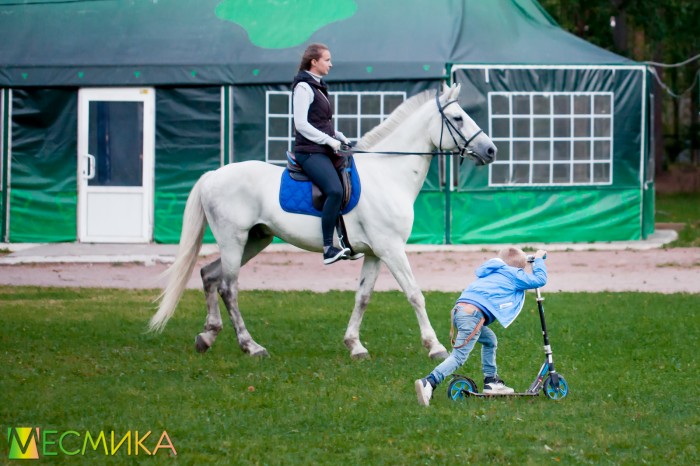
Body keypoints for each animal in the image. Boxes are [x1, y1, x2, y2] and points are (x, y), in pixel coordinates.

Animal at [150, 83, 494, 360]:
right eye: (458, 118)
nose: (490, 150)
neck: (388, 174)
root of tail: (212, 175)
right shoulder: (391, 249)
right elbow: (414, 294)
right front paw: (435, 347)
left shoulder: (375, 253)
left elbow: (363, 297)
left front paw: (355, 345)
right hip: (233, 239)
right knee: (228, 287)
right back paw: (251, 346)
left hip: (255, 240)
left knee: (209, 275)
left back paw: (207, 336)